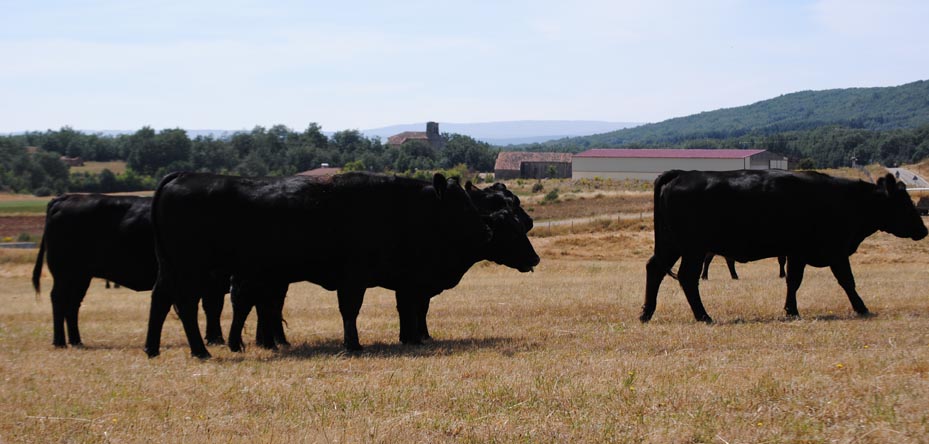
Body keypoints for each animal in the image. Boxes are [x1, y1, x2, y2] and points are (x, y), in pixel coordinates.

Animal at [31, 194, 227, 348]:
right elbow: (213, 308)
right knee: (58, 299)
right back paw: (60, 342)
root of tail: (63, 199)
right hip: (64, 274)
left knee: (72, 304)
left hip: (80, 277)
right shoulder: (214, 281)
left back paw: (76, 341)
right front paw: (216, 339)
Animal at [144, 172, 540, 358]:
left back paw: (158, 348)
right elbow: (353, 310)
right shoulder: (359, 278)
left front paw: (411, 338)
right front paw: (354, 345)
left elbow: (409, 311)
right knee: (188, 304)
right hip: (196, 270)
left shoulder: (405, 281)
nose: (485, 230)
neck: (402, 210)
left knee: (165, 300)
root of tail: (182, 176)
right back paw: (204, 349)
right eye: (460, 206)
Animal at [641, 170, 927, 323]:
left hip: (673, 245)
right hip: (693, 248)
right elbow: (847, 281)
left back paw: (647, 313)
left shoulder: (796, 252)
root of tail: (682, 173)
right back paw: (703, 316)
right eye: (904, 203)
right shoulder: (834, 250)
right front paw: (862, 308)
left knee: (655, 269)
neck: (844, 200)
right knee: (687, 278)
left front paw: (791, 310)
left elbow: (792, 281)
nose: (923, 230)